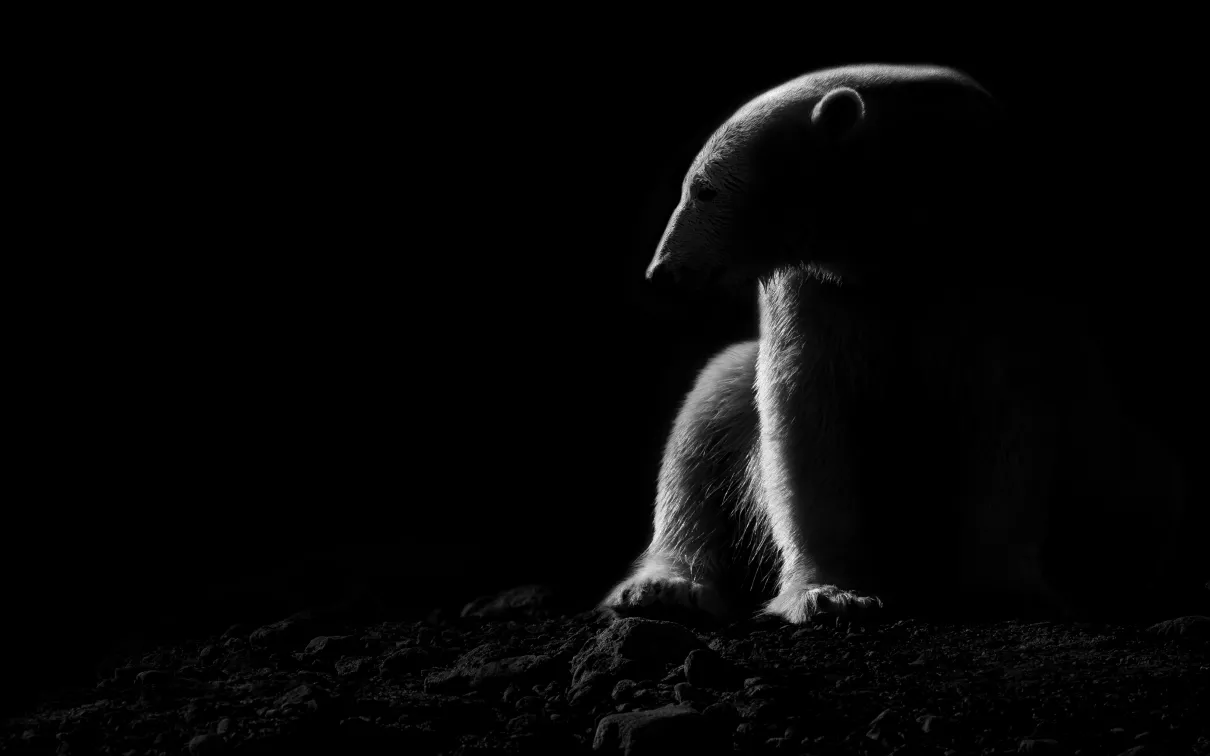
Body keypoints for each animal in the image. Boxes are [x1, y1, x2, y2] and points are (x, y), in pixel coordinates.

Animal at [600, 64, 1192, 625]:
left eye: (705, 189)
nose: (661, 271)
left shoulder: (1009, 282)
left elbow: (1009, 422)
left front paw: (1012, 590)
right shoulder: (818, 291)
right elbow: (805, 417)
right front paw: (830, 595)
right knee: (708, 415)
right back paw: (665, 588)